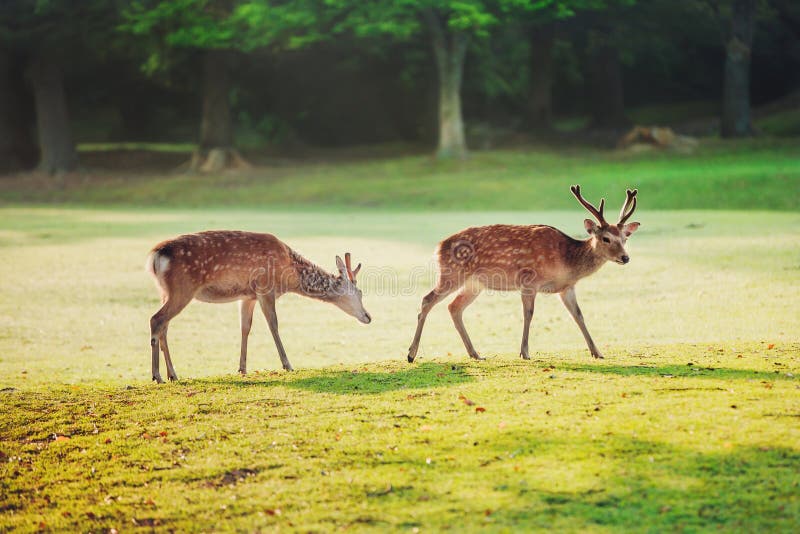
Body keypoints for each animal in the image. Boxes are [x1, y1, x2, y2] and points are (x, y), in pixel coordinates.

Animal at [147, 231, 372, 386]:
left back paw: (172, 374)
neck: (289, 275)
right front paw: (287, 364)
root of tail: (155, 257)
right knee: (156, 320)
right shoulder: (266, 288)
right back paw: (157, 375)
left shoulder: (248, 296)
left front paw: (242, 368)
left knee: (164, 326)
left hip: (165, 291)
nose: (368, 316)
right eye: (360, 292)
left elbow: (245, 328)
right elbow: (273, 325)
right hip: (183, 288)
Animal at [406, 184, 636, 364]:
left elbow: (578, 315)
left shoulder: (567, 287)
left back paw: (475, 354)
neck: (566, 261)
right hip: (452, 272)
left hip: (475, 284)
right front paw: (524, 352)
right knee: (427, 299)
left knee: (454, 307)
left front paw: (597, 352)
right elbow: (529, 313)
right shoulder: (529, 280)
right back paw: (411, 354)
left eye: (625, 238)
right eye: (606, 238)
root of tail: (438, 247)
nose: (625, 257)